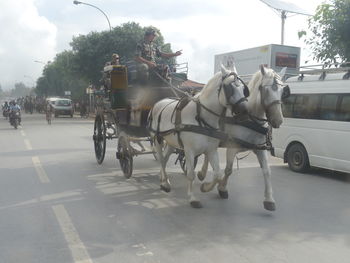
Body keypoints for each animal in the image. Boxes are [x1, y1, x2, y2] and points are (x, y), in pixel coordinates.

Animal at [149, 65, 250, 208]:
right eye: (229, 89)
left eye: (243, 89)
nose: (245, 111)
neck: (201, 117)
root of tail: (159, 102)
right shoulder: (189, 151)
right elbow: (191, 174)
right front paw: (192, 198)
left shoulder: (212, 150)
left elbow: (218, 174)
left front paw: (205, 187)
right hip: (157, 139)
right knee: (162, 160)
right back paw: (165, 184)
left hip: (171, 142)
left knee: (165, 158)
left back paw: (163, 178)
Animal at [197, 66, 290, 212]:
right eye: (265, 90)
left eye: (282, 92)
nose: (278, 120)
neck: (250, 119)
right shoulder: (231, 148)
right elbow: (228, 170)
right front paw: (222, 188)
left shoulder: (261, 149)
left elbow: (267, 171)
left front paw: (269, 199)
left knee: (207, 153)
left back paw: (202, 173)